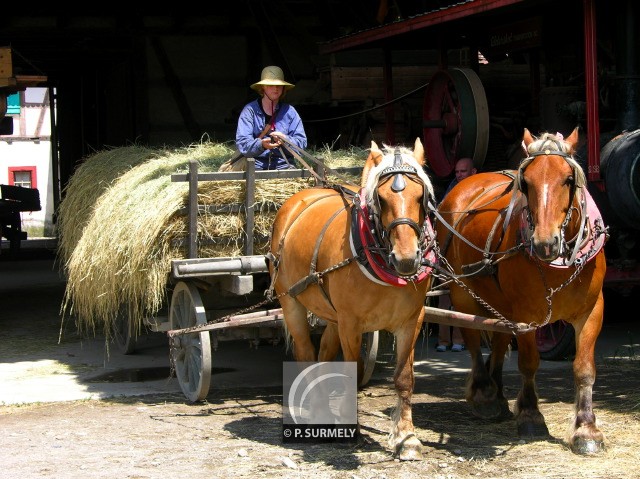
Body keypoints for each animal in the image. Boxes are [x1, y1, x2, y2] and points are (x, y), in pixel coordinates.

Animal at [268, 139, 438, 462]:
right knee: (306, 353)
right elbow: (351, 373)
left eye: (421, 195)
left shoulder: (412, 320)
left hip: (332, 316)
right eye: (381, 199)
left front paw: (407, 437)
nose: (407, 258)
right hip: (291, 302)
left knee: (323, 354)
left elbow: (404, 378)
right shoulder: (351, 323)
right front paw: (352, 429)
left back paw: (320, 410)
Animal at [436, 128, 608, 458]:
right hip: (463, 293)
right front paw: (530, 416)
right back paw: (485, 394)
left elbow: (584, 368)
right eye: (525, 182)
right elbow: (529, 362)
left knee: (499, 342)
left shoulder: (592, 311)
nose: (544, 243)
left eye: (568, 179)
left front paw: (587, 429)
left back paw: (499, 395)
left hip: (498, 302)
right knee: (473, 340)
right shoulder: (528, 316)